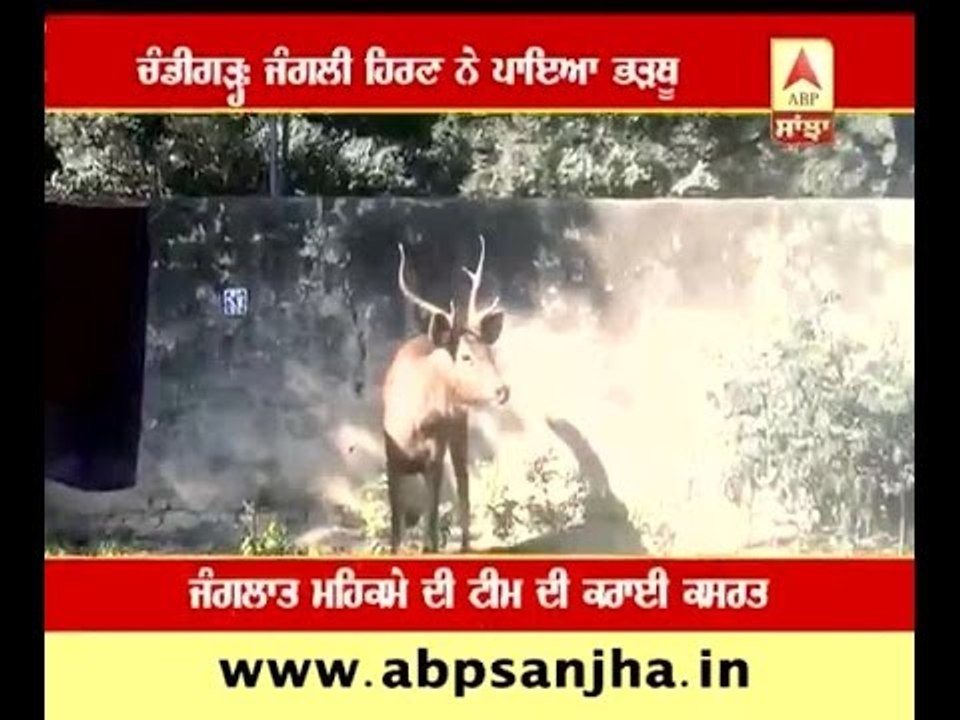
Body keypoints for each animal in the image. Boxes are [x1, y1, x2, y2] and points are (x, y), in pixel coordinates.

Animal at [382, 235, 510, 554]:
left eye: (489, 352)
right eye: (465, 356)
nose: (503, 390)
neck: (413, 423)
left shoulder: (435, 454)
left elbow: (431, 518)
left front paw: (433, 547)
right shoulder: (390, 456)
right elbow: (396, 526)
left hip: (458, 428)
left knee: (463, 485)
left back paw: (464, 546)